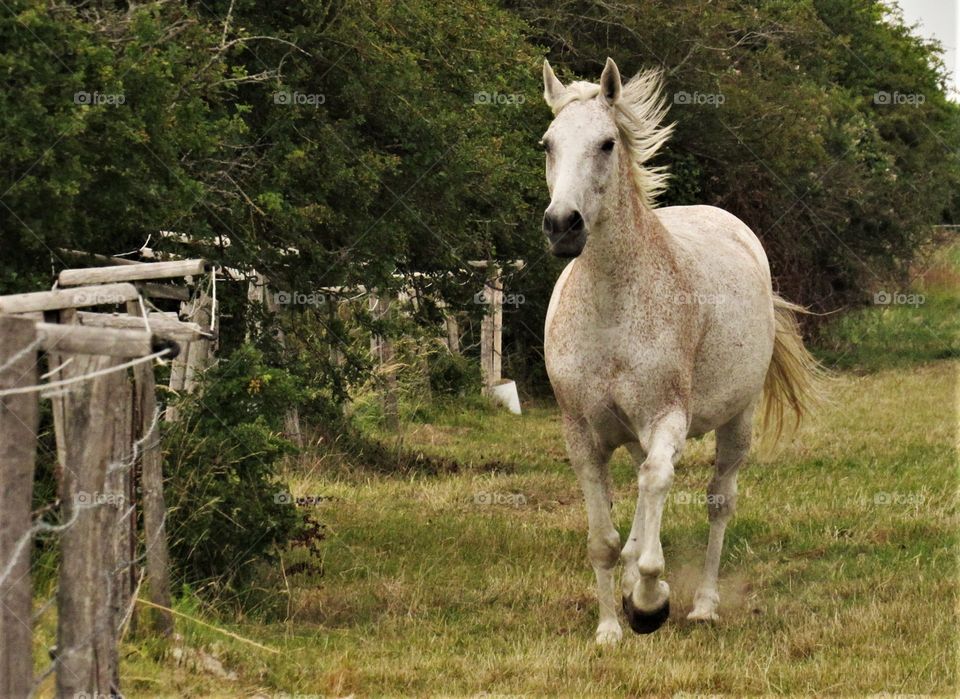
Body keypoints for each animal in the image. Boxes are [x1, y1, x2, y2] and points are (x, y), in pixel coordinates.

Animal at [540, 58, 816, 644]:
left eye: (606, 144)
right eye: (547, 144)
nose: (562, 226)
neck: (611, 310)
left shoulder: (667, 418)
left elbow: (655, 497)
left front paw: (649, 603)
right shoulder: (581, 434)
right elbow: (604, 539)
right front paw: (609, 627)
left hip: (737, 420)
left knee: (716, 500)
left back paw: (704, 604)